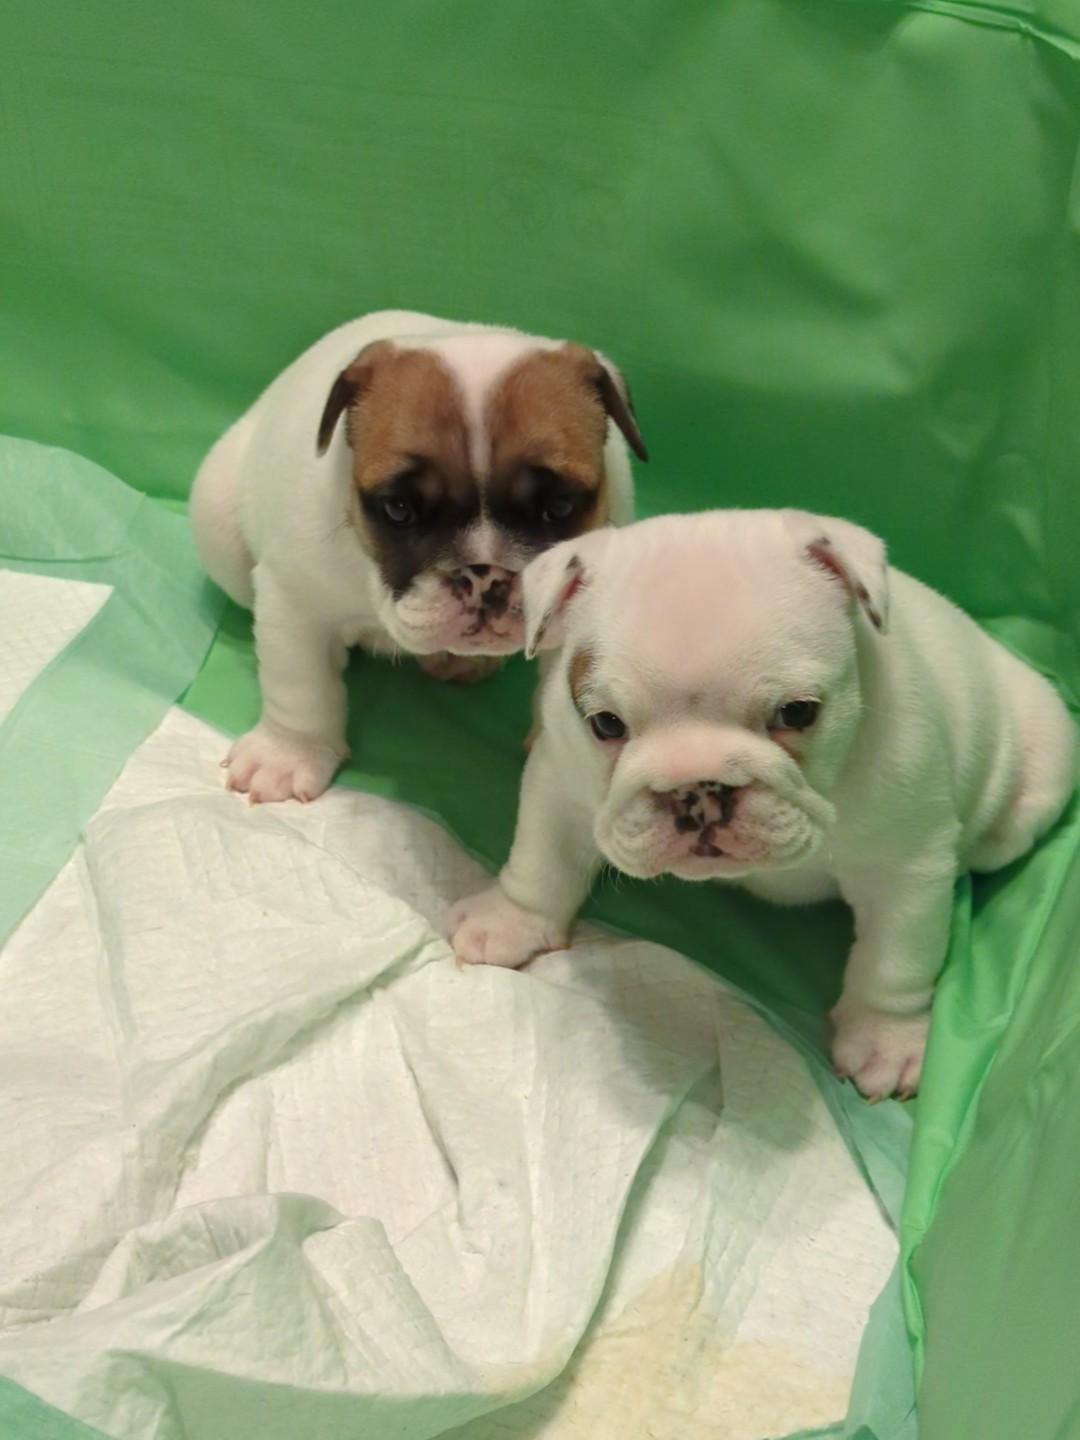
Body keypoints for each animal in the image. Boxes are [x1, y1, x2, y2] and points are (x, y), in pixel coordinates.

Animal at [190, 311, 646, 803]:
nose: (485, 575)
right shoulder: (295, 602)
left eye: (559, 507)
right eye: (399, 508)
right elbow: (300, 685)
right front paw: (286, 756)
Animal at [447, 509, 1077, 1100]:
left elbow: (895, 958)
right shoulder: (559, 782)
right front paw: (511, 919)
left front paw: (885, 1039)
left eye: (797, 713)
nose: (697, 788)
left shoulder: (907, 864)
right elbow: (541, 860)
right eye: (605, 724)